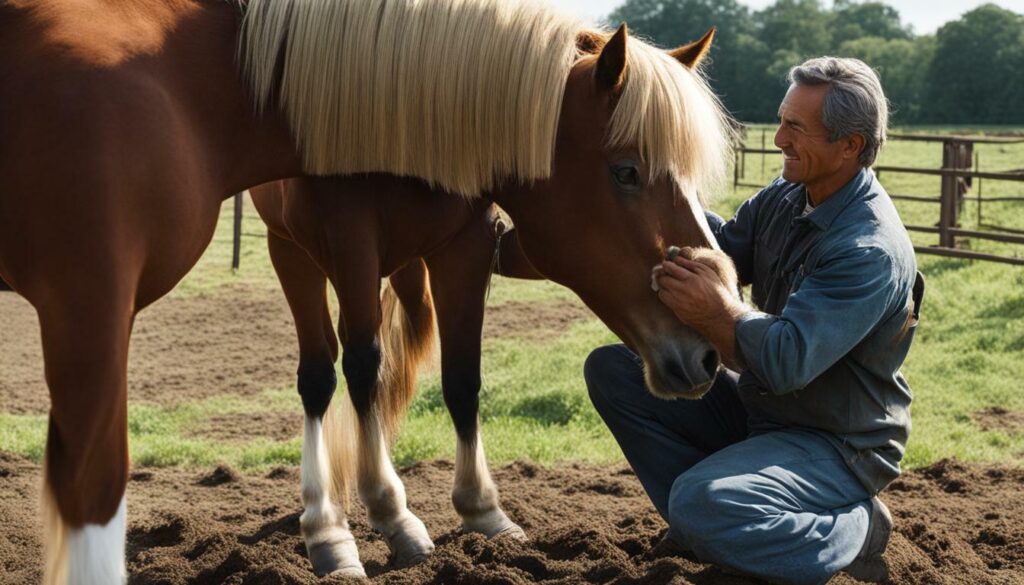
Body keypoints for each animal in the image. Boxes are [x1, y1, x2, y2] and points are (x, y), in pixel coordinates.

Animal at [0, 0, 734, 582]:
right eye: (627, 170)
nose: (704, 354)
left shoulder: (465, 245)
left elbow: (461, 378)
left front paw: (483, 509)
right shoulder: (347, 244)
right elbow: (354, 369)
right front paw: (385, 514)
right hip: (290, 253)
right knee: (322, 373)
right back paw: (329, 521)